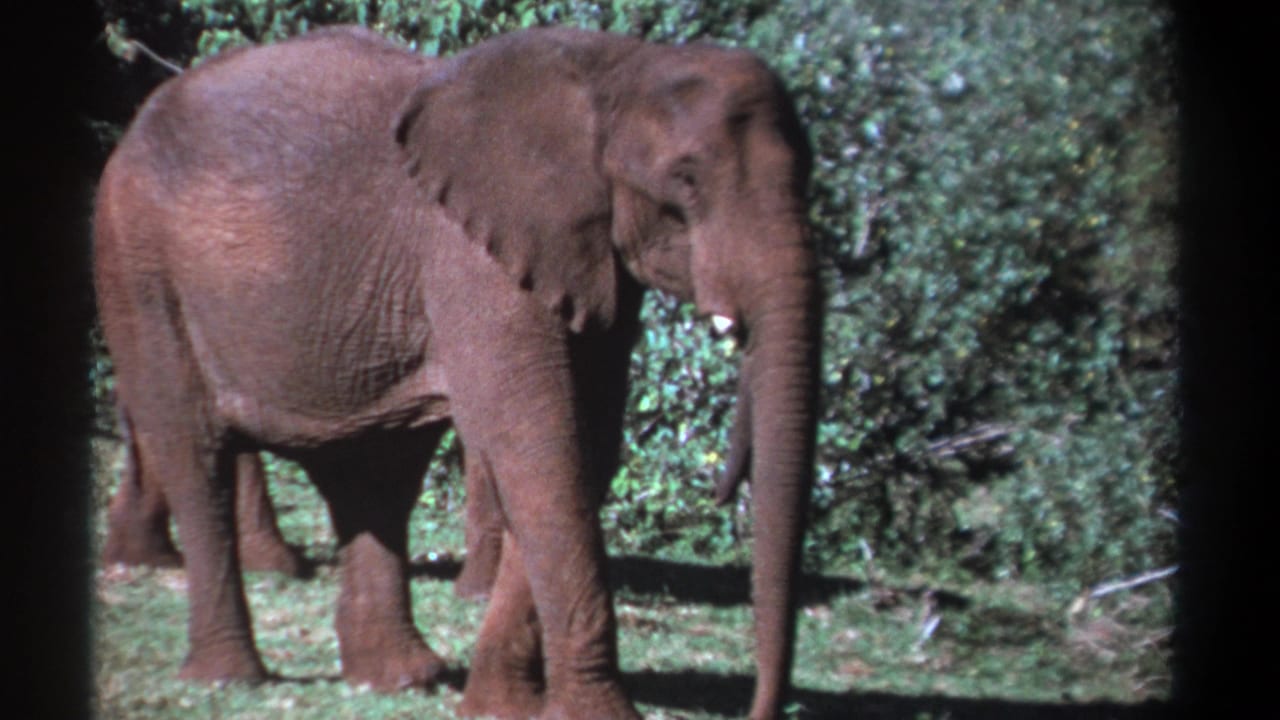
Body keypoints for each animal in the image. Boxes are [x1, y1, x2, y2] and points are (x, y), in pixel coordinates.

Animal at [93, 25, 819, 720]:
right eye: (686, 181)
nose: (764, 709)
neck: (620, 68)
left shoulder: (589, 261)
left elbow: (582, 451)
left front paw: (498, 706)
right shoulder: (473, 258)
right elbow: (539, 446)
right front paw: (591, 715)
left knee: (373, 477)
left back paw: (397, 679)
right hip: (138, 268)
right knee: (196, 451)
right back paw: (231, 677)